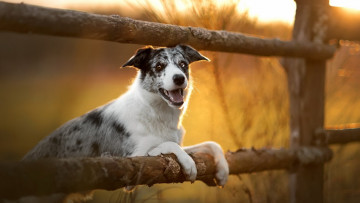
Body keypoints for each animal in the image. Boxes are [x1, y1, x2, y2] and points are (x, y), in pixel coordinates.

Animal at [23, 44, 229, 190]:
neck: (156, 112)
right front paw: (188, 163)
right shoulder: (134, 160)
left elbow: (212, 144)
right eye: (159, 66)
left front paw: (223, 169)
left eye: (183, 64)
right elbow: (169, 146)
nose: (179, 78)